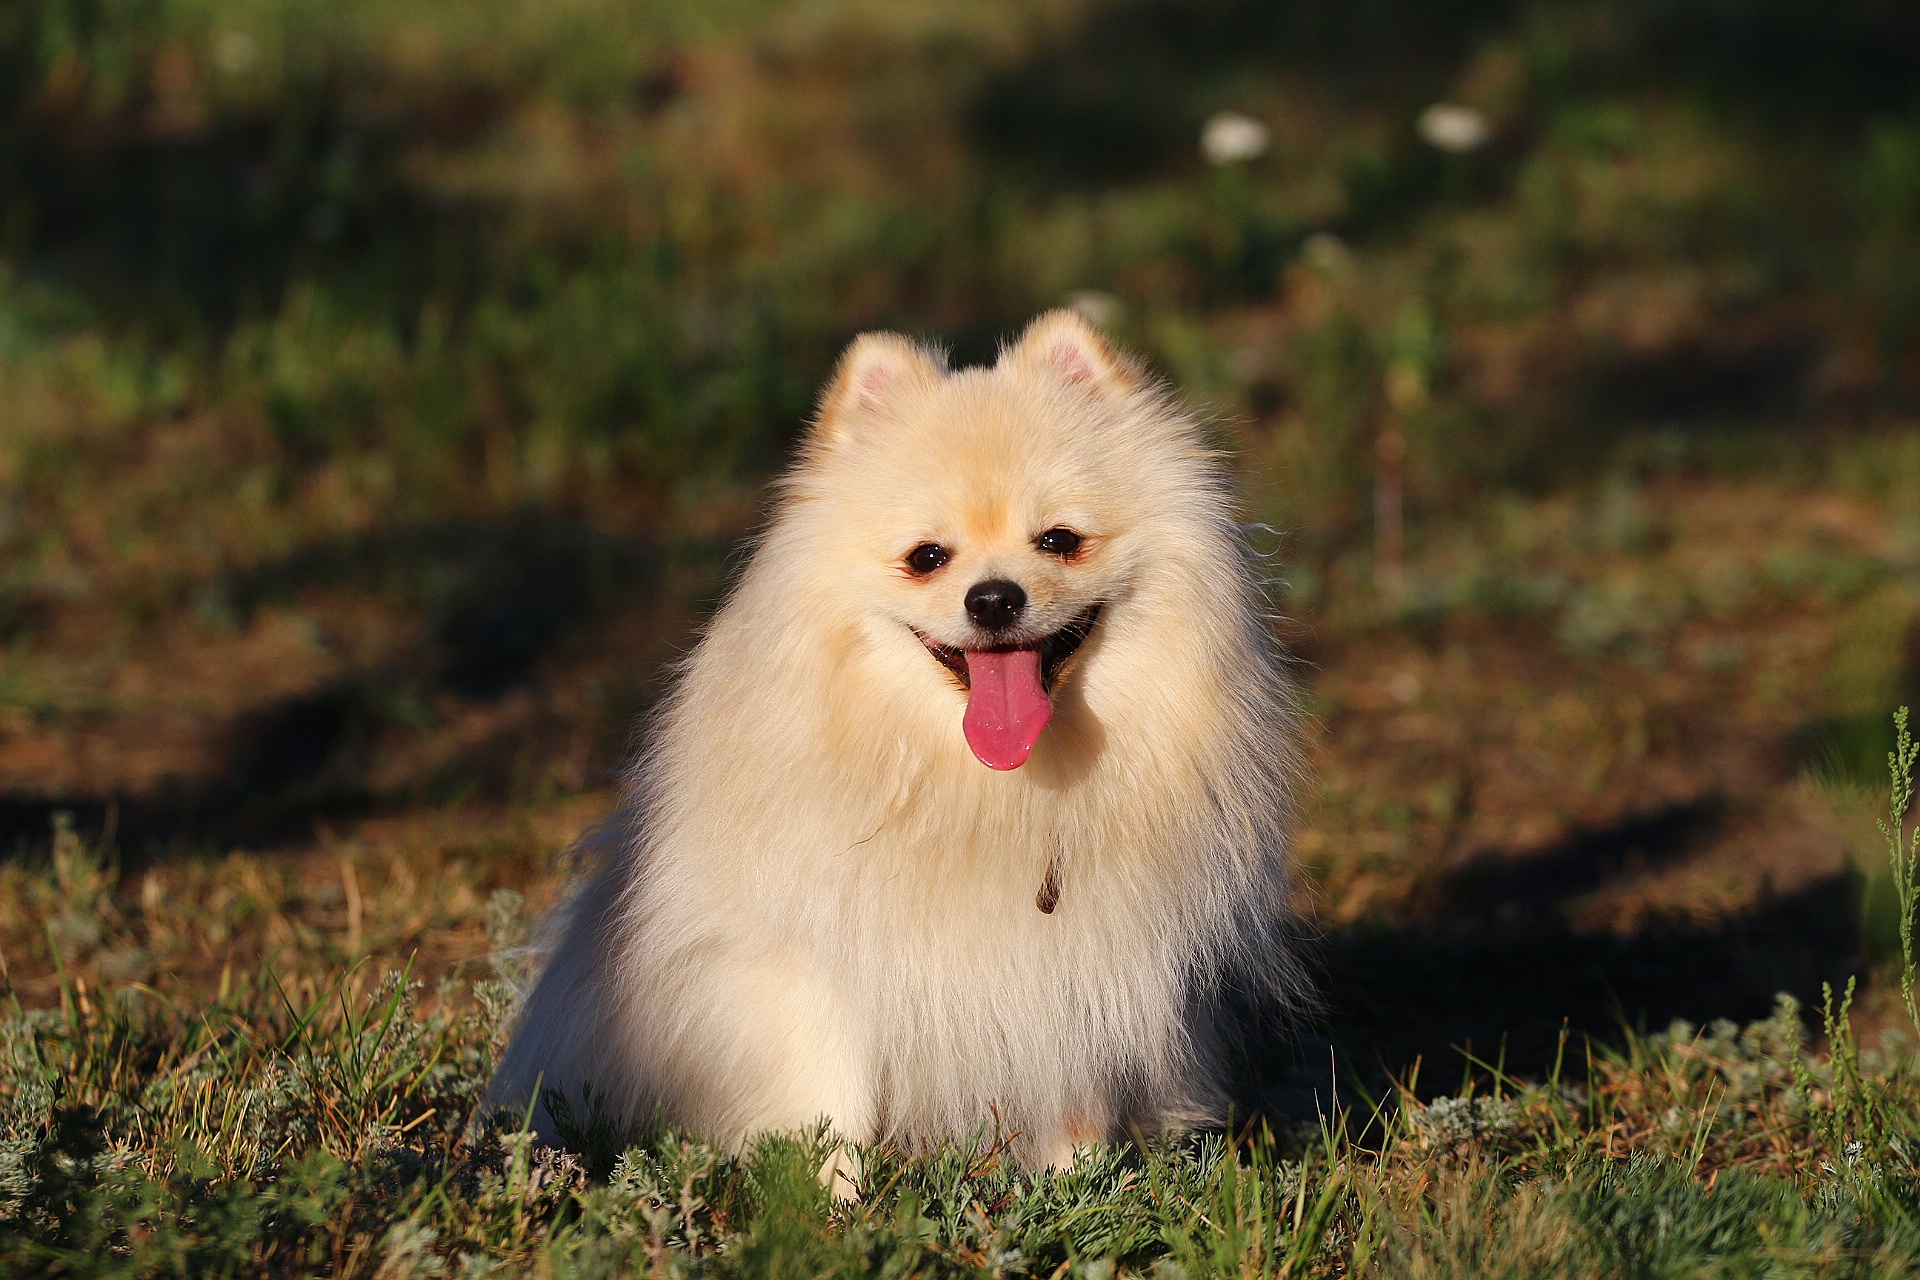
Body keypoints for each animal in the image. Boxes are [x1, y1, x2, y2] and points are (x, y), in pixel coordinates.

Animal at [487, 307, 1313, 1174]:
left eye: (1059, 541)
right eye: (927, 558)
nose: (993, 599)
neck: (981, 792)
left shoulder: (1080, 973)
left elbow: (1075, 1104)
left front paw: (1081, 1188)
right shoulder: (805, 964)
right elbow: (828, 1104)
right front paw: (829, 1197)